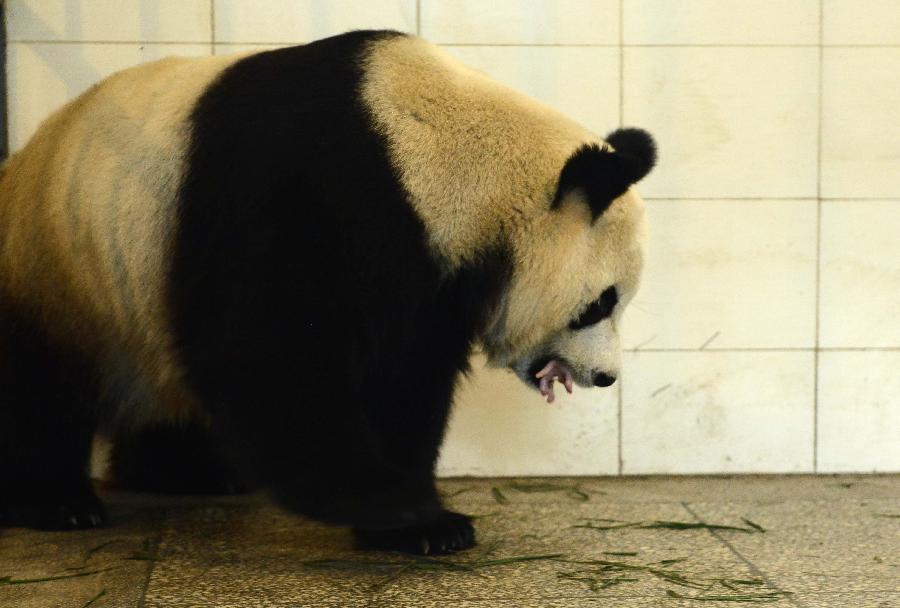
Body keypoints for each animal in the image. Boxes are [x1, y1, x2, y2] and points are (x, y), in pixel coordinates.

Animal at [0, 29, 652, 556]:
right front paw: (391, 506)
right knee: (39, 389)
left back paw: (187, 471)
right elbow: (268, 356)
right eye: (601, 302)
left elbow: (406, 379)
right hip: (57, 265)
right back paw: (59, 503)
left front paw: (419, 523)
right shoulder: (312, 197)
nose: (605, 378)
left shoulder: (426, 274)